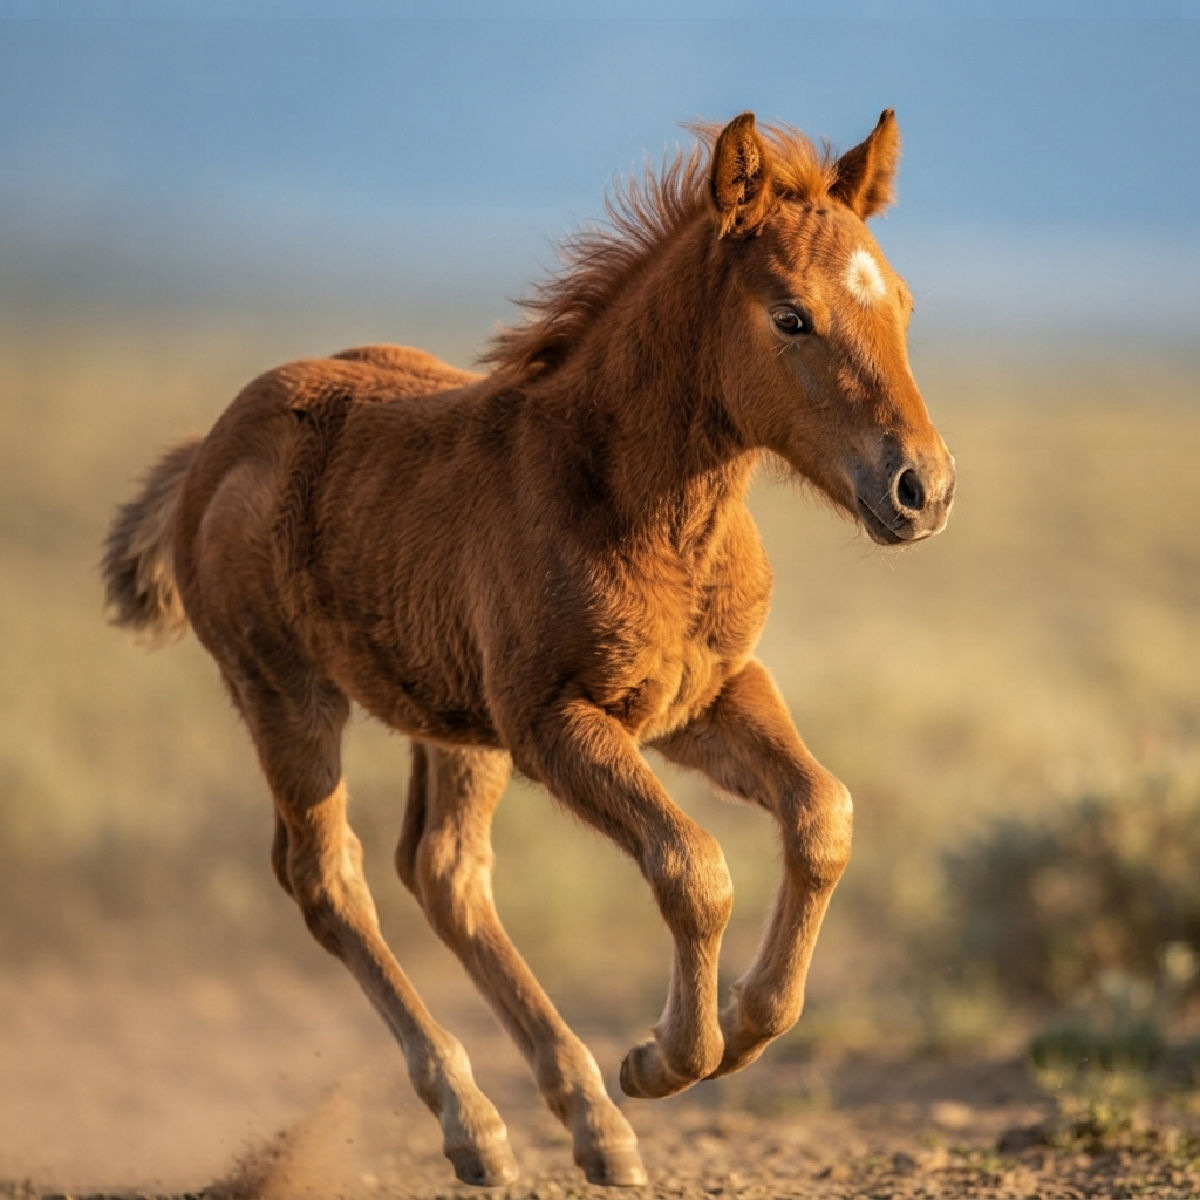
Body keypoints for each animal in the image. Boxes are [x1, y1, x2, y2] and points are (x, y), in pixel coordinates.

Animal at [102, 109, 955, 1188]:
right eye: (792, 317)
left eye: (904, 305)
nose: (921, 488)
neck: (635, 505)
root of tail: (211, 448)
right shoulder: (555, 721)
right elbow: (693, 865)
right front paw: (669, 1057)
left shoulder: (705, 697)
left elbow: (822, 815)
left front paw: (747, 1025)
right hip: (286, 695)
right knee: (329, 878)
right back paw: (481, 1123)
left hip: (452, 724)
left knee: (444, 872)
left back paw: (588, 1121)